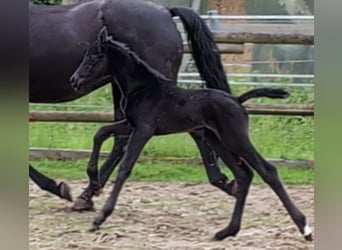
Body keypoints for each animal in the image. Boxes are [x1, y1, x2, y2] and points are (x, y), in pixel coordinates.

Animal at [69, 28, 312, 241]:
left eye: (93, 57)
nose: (74, 81)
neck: (143, 89)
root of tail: (237, 100)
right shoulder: (130, 125)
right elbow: (100, 132)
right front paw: (94, 181)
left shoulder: (144, 130)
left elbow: (124, 168)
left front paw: (100, 217)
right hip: (218, 140)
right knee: (244, 175)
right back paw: (226, 232)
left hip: (235, 138)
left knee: (267, 171)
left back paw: (305, 228)